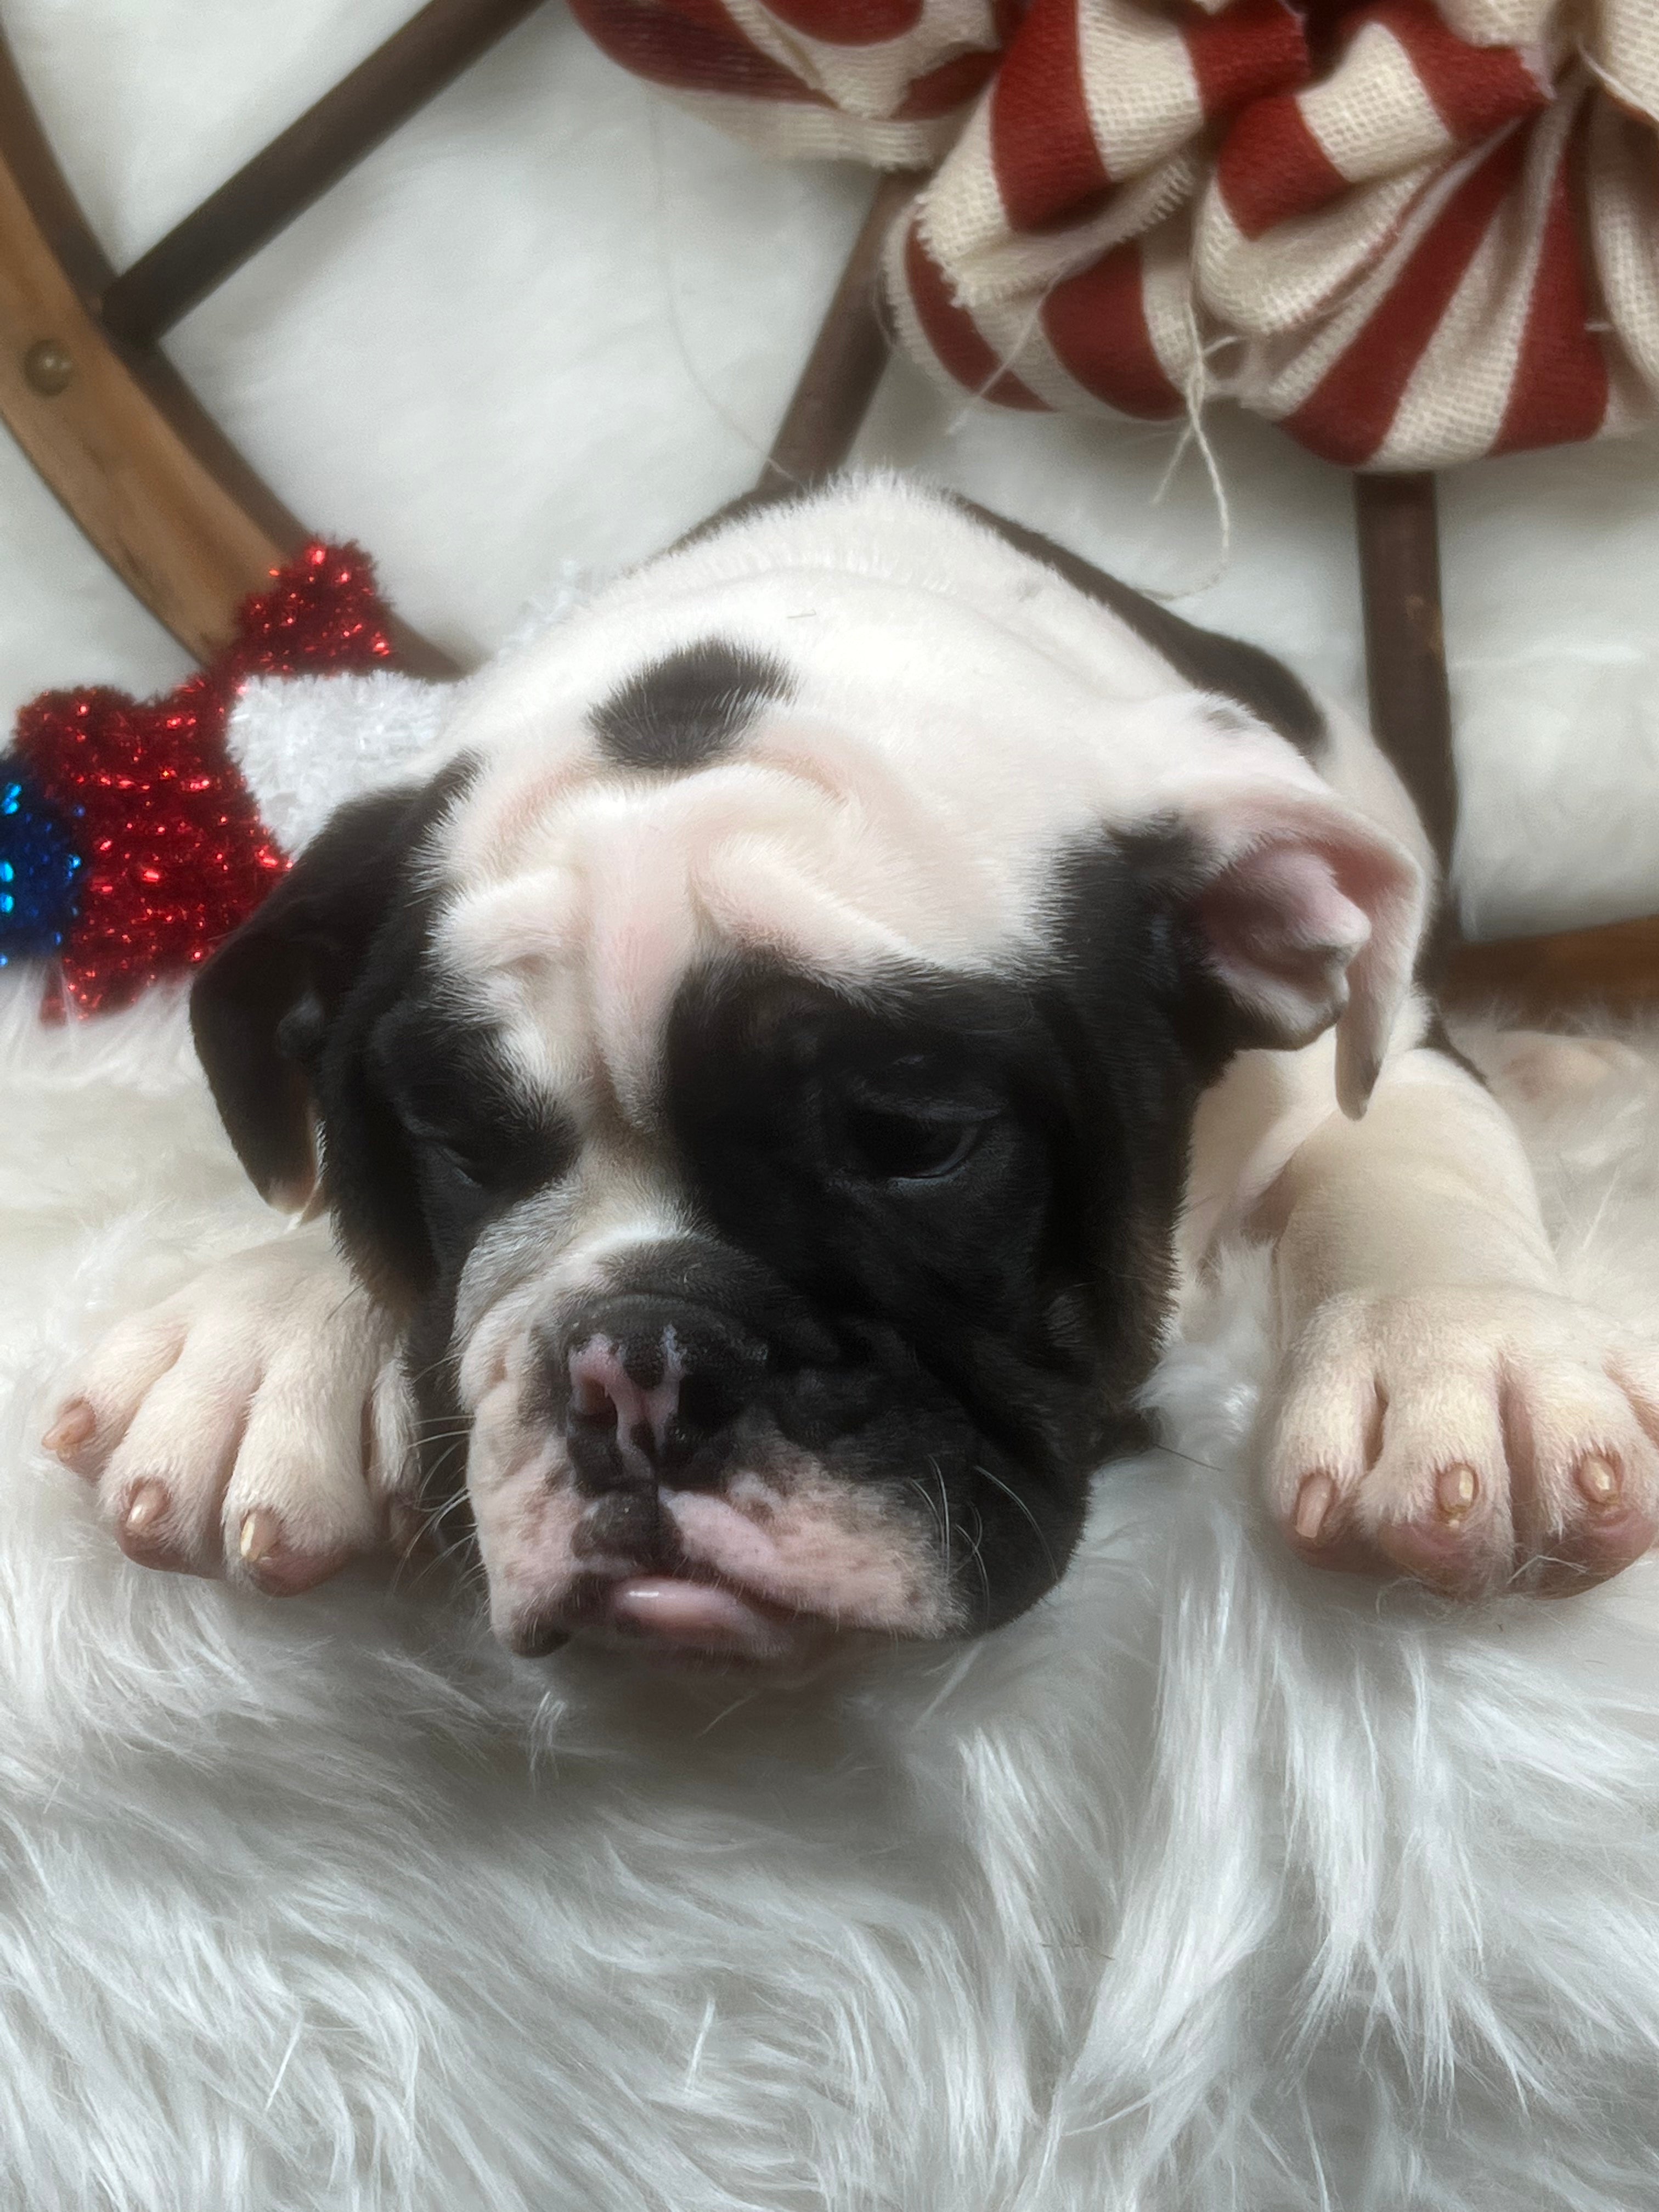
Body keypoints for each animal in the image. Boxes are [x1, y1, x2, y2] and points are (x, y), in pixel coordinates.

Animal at [48, 479, 1659, 1663]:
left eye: (915, 1142)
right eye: (450, 1136)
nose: (636, 1361)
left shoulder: (1356, 1056)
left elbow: (1410, 1159)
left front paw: (1465, 1357)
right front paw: (267, 1337)